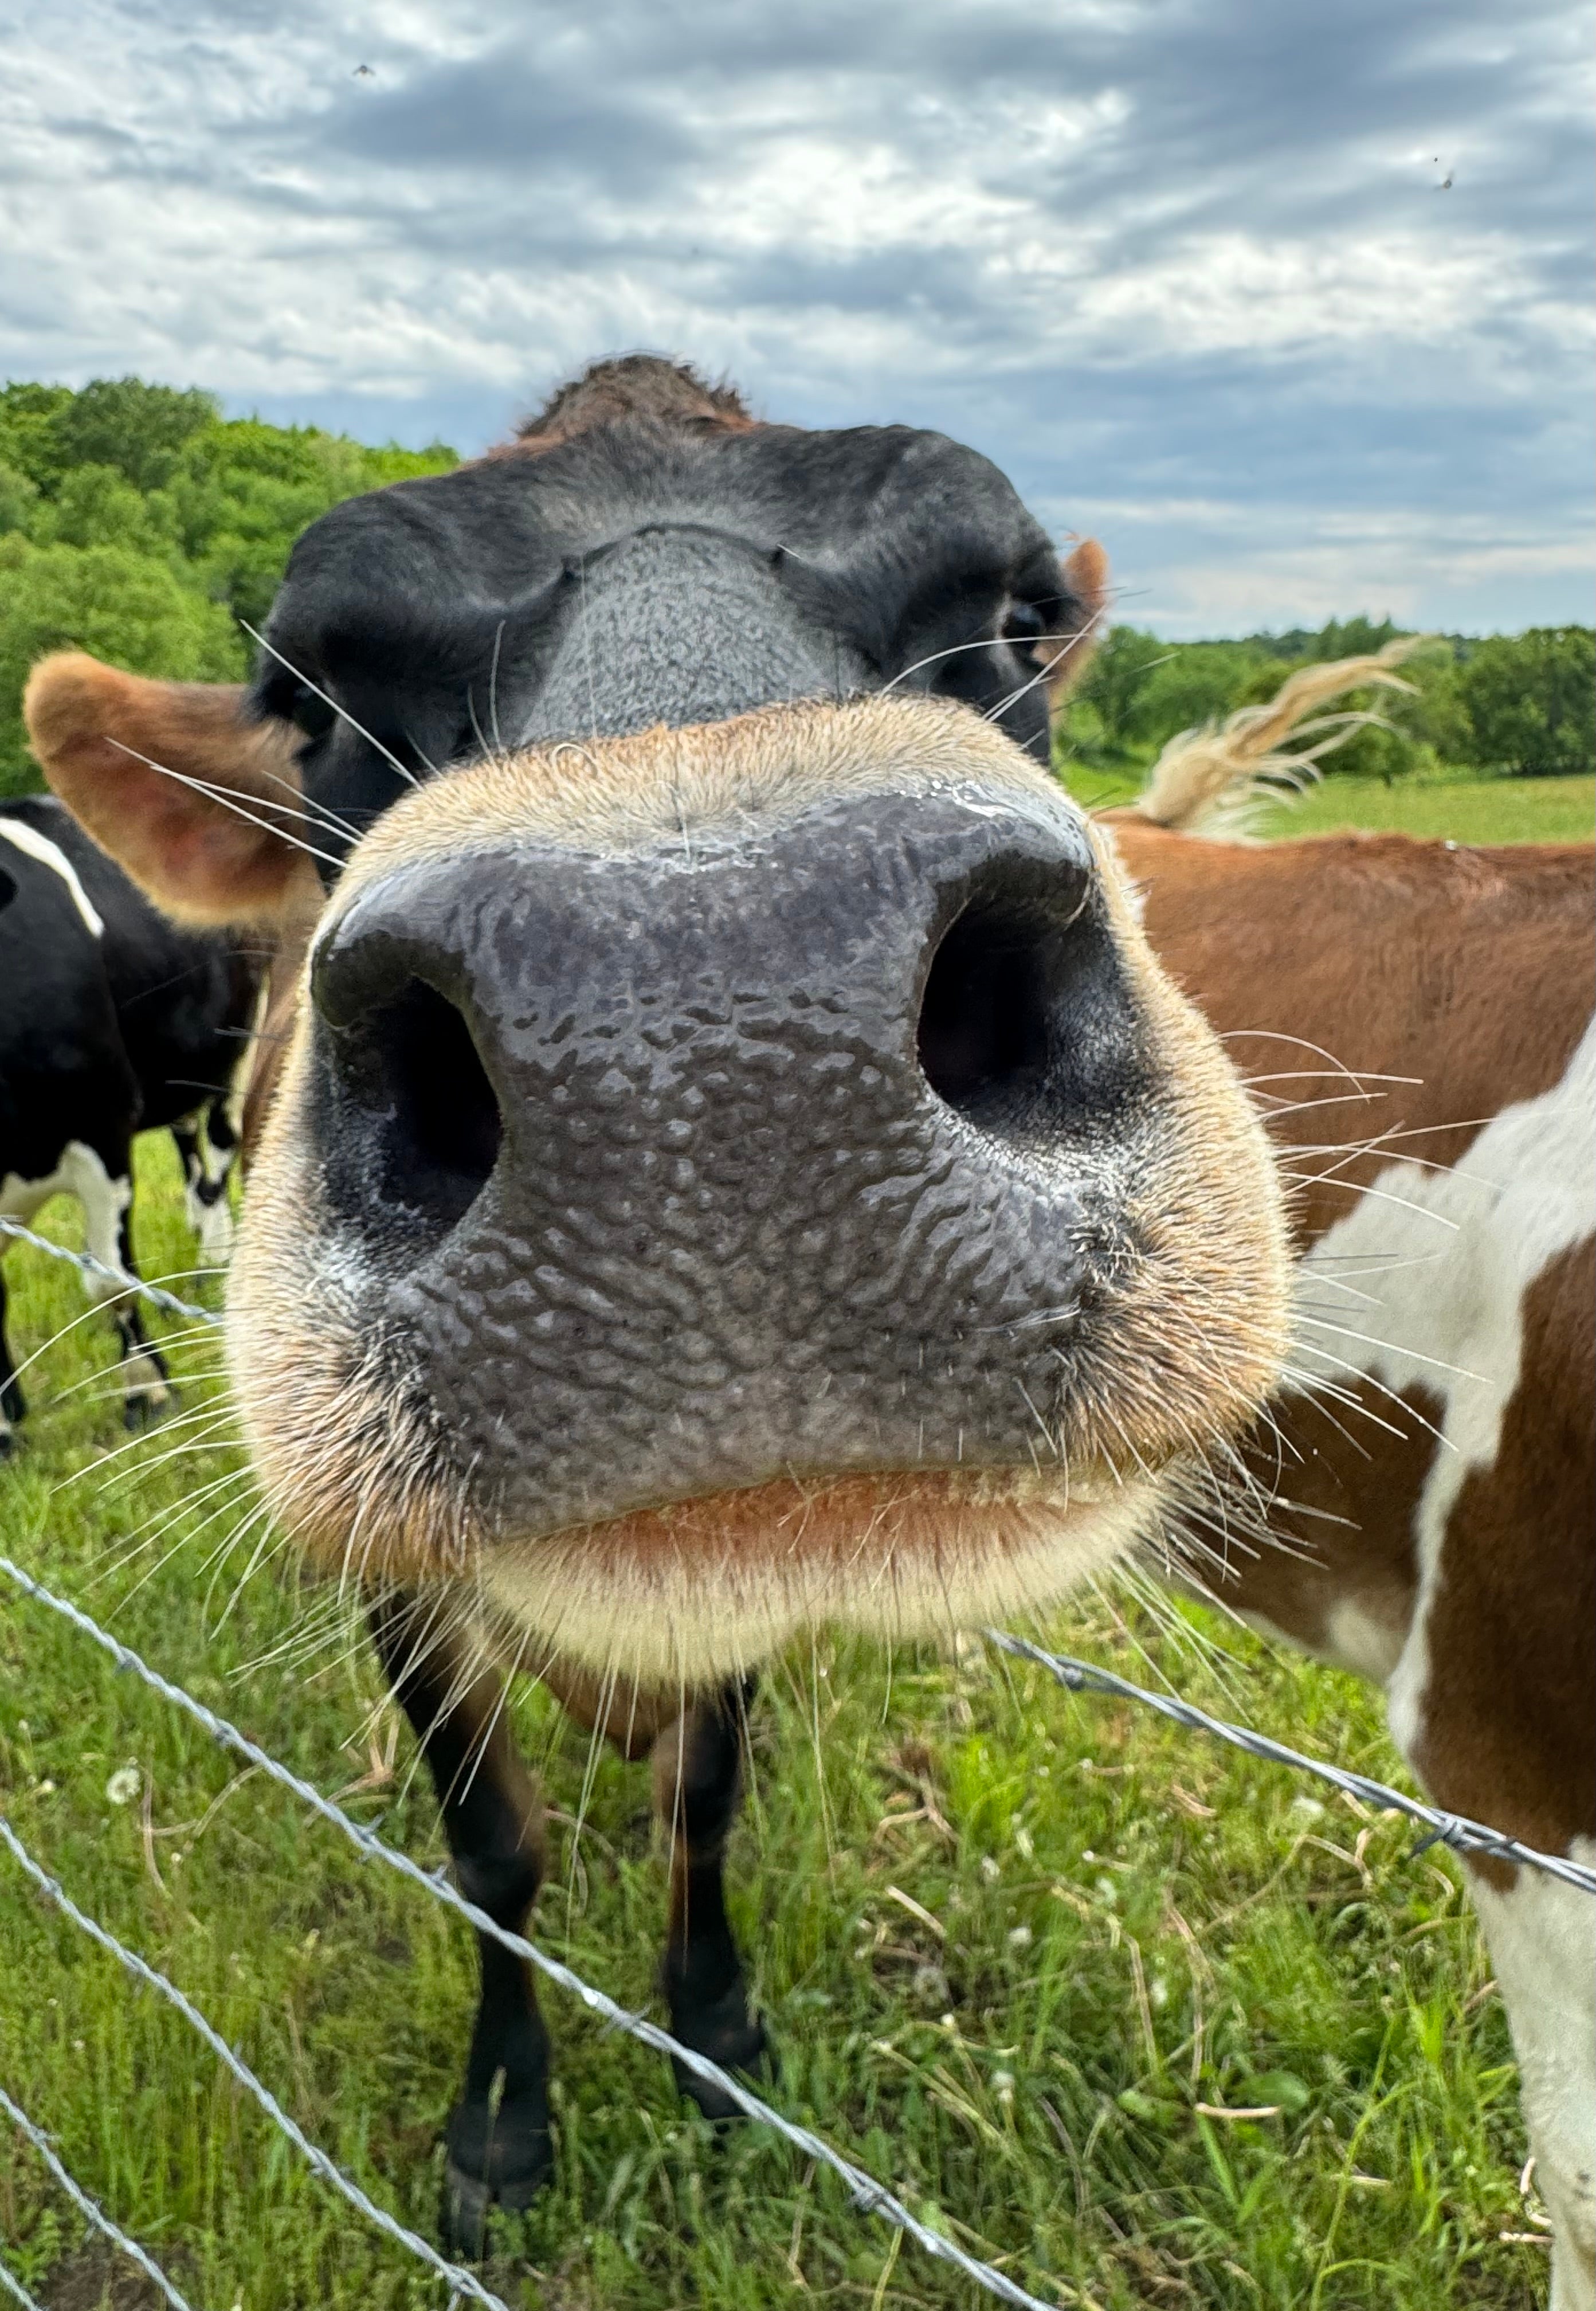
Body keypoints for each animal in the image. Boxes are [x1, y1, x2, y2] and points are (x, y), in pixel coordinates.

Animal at [0, 794, 259, 1452]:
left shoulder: (102, 1130)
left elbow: (108, 1283)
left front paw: (148, 1392)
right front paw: (5, 1421)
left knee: (219, 1151)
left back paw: (215, 1256)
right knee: (189, 1142)